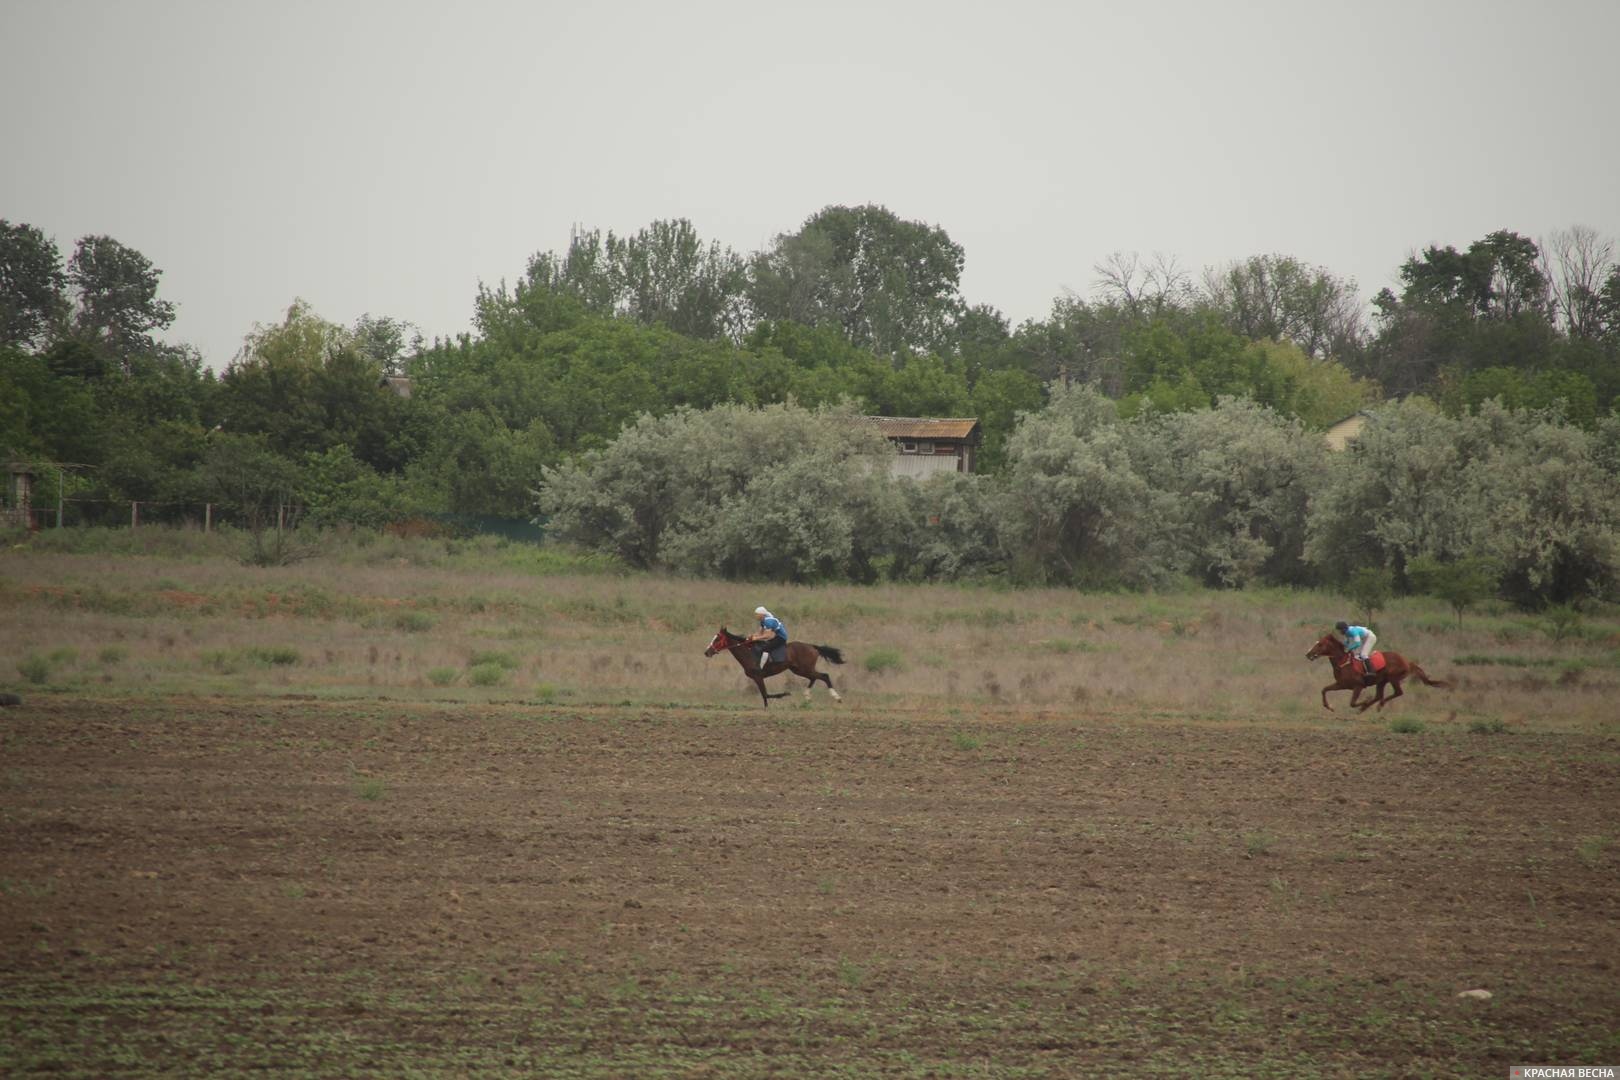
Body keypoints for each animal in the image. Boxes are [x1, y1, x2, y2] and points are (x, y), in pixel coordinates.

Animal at [699, 625, 842, 709]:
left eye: (717, 639)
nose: (707, 652)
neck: (748, 652)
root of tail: (813, 647)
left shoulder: (758, 676)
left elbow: (766, 695)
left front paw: (784, 694)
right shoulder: (757, 678)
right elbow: (765, 695)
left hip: (804, 668)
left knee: (824, 676)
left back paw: (837, 698)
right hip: (799, 670)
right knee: (815, 677)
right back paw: (807, 697)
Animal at [1302, 628, 1458, 712]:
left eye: (1320, 644)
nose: (1308, 654)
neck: (1343, 663)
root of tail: (1407, 661)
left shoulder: (1358, 686)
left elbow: (1352, 703)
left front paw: (1364, 702)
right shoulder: (1342, 684)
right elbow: (1324, 690)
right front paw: (1329, 707)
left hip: (1393, 678)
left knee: (1397, 693)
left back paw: (1377, 705)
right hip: (1381, 681)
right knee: (1379, 695)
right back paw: (1370, 706)